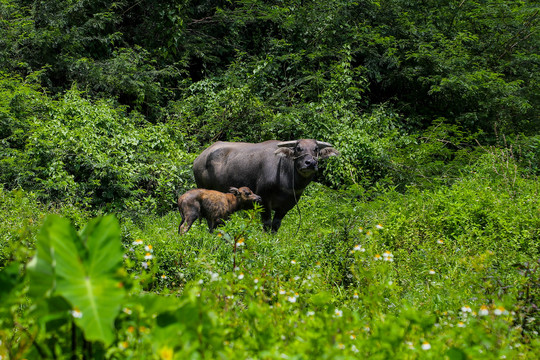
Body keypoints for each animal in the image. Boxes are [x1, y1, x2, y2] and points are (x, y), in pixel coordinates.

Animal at [193, 139, 338, 232]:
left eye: (316, 149)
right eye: (298, 148)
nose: (310, 163)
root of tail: (199, 158)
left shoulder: (287, 206)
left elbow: (275, 225)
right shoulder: (263, 200)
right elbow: (267, 224)